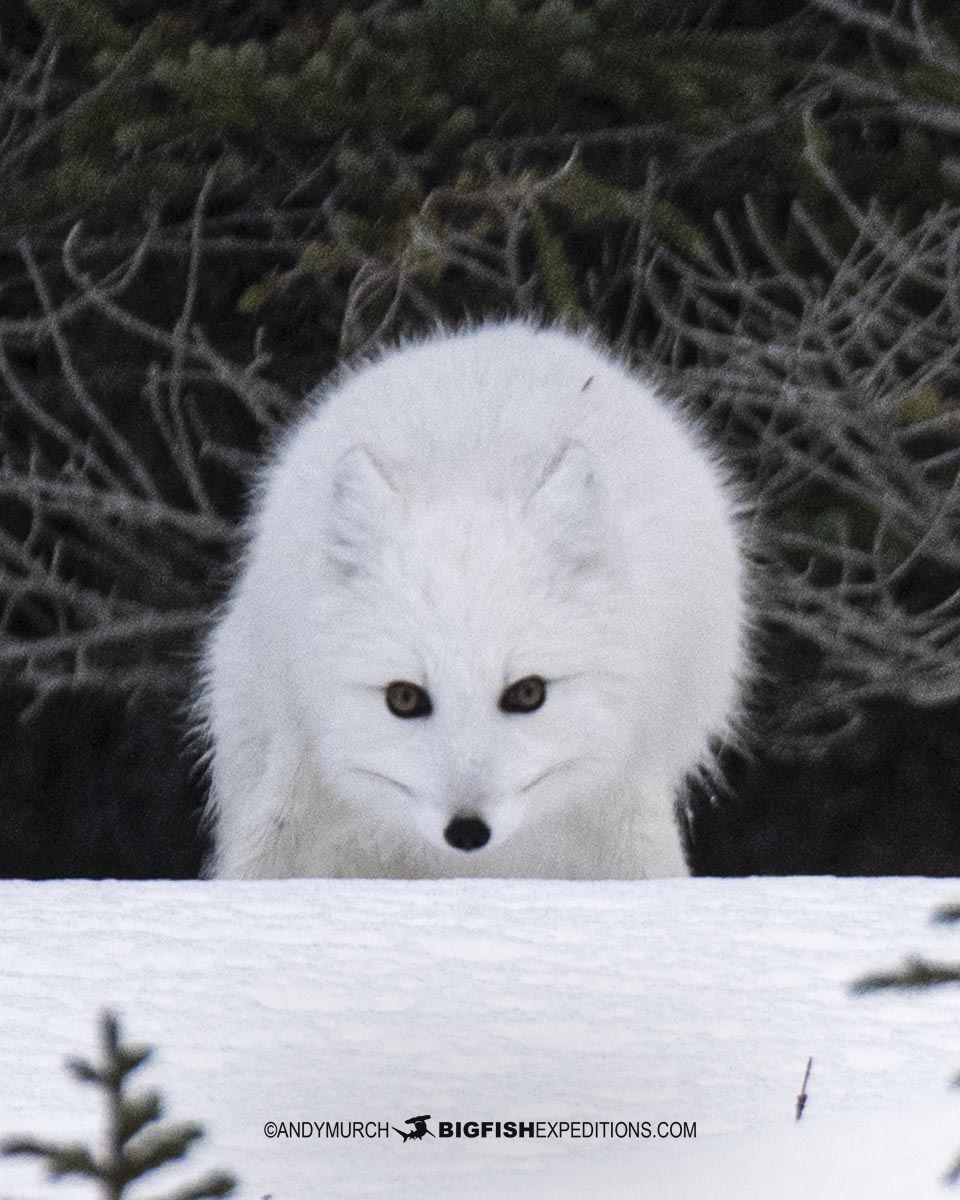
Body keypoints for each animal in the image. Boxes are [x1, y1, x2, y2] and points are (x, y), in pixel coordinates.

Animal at [200, 324, 744, 878]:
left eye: (527, 693)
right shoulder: (302, 767)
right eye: (404, 698)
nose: (466, 831)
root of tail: (500, 334)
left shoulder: (624, 783)